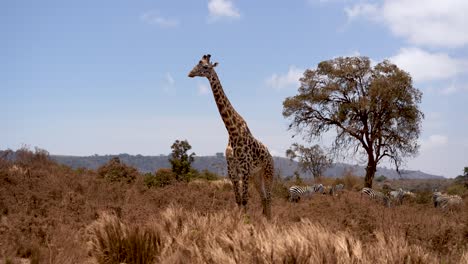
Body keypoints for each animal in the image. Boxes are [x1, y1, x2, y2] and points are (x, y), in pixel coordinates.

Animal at [187, 53, 274, 219]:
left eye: (205, 67)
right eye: (196, 64)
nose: (190, 73)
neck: (232, 131)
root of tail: (270, 154)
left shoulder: (244, 170)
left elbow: (245, 201)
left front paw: (246, 224)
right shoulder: (233, 171)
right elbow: (238, 200)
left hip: (268, 171)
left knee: (269, 198)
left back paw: (271, 222)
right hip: (256, 175)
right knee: (264, 198)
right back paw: (265, 222)